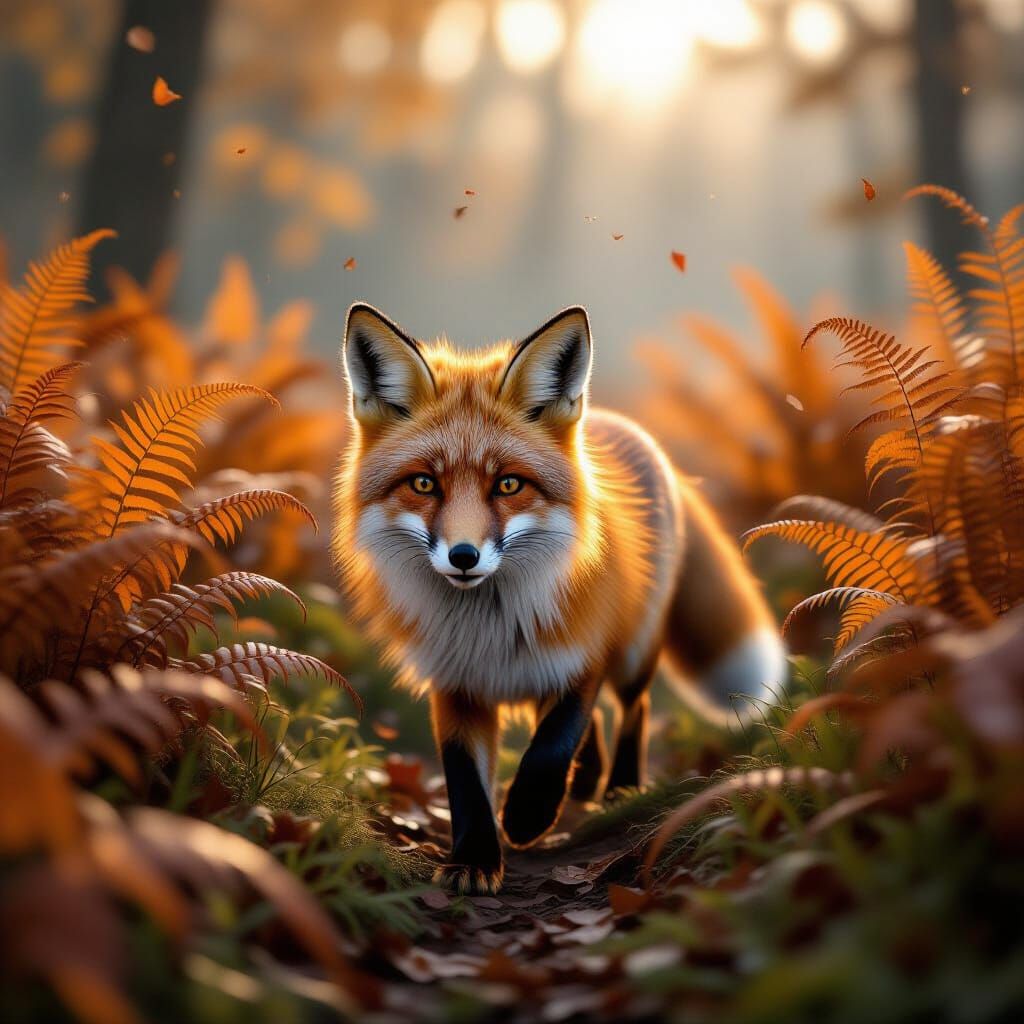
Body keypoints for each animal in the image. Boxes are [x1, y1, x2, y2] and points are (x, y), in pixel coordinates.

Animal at [332, 303, 785, 895]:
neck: (489, 626)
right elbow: (465, 782)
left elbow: (551, 746)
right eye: (425, 484)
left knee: (632, 707)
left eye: (508, 485)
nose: (462, 556)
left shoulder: (581, 653)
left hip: (634, 652)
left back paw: (619, 787)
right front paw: (474, 859)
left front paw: (527, 816)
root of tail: (622, 424)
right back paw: (588, 782)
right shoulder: (455, 682)